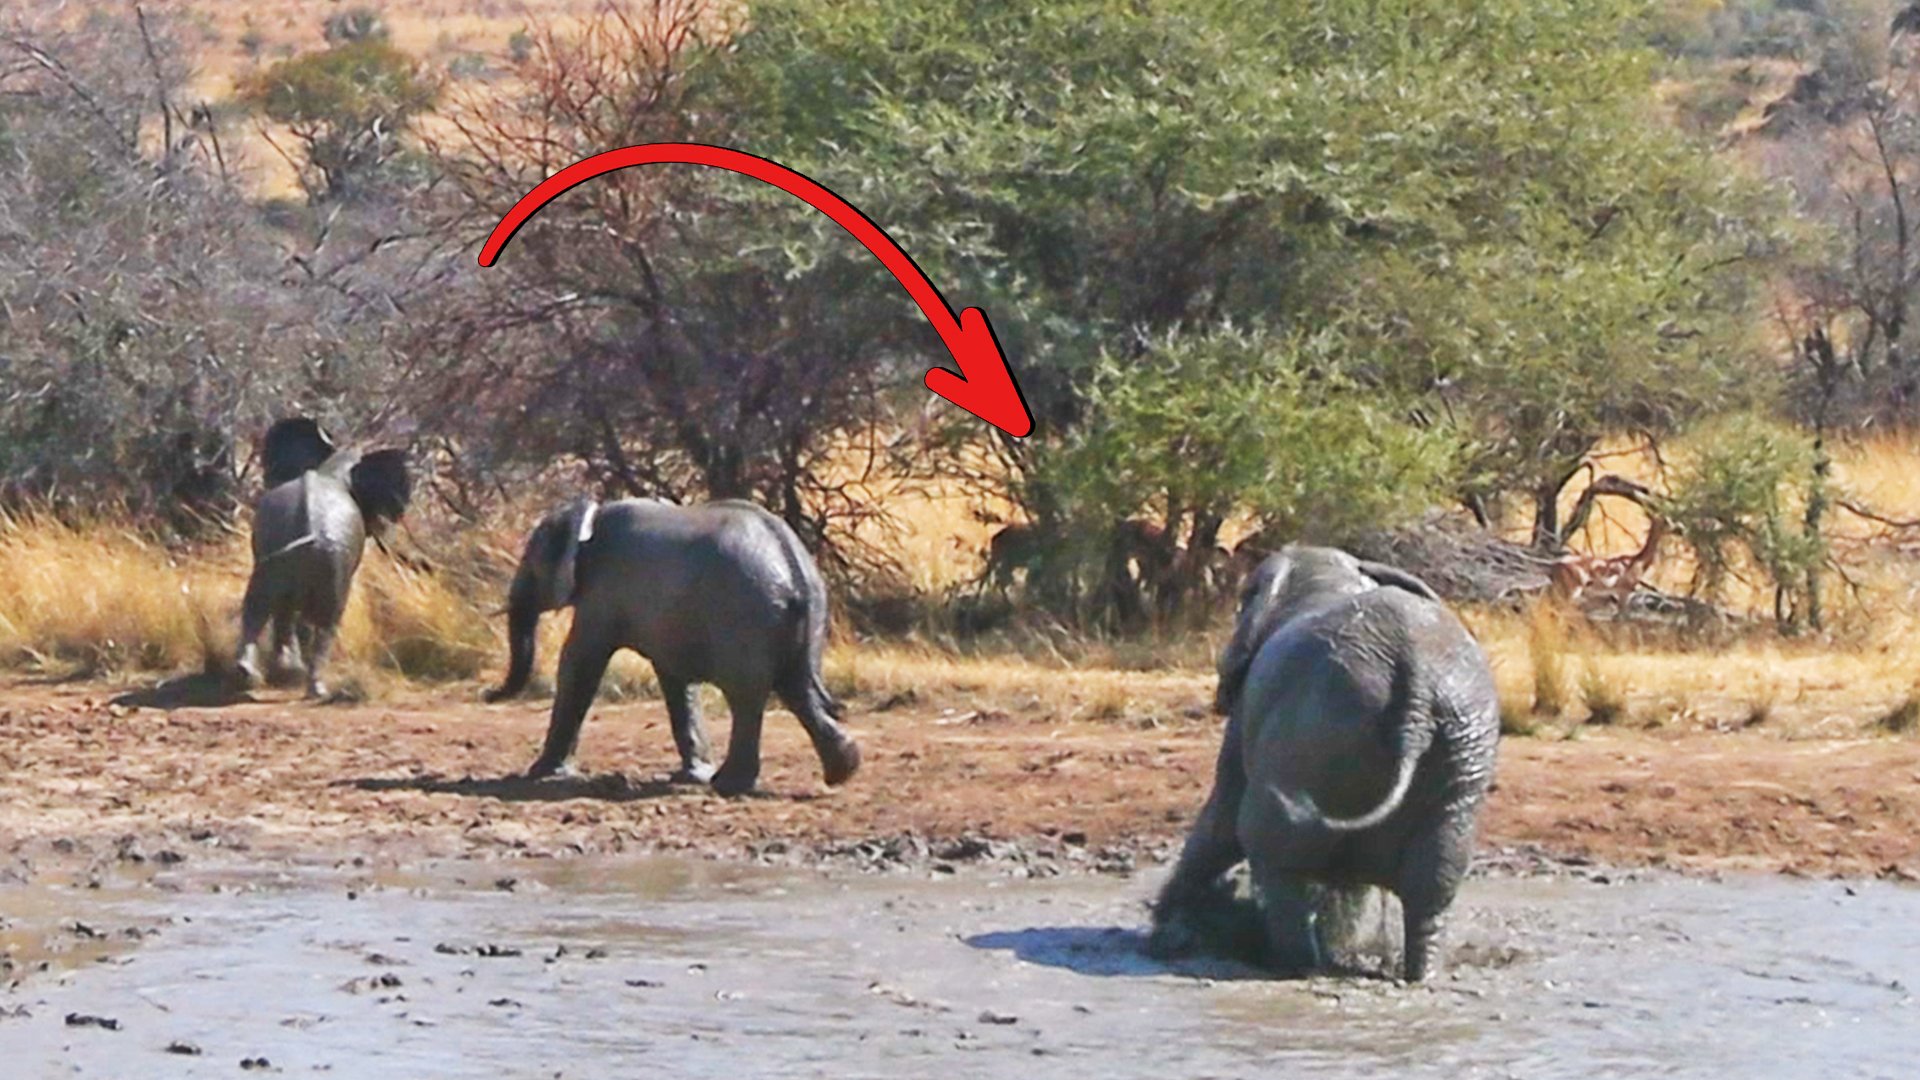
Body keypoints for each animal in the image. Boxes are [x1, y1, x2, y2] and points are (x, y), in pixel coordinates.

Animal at [234, 417, 412, 700]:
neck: (334, 467)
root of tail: (309, 526)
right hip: (331, 561)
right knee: (328, 619)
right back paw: (315, 689)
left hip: (272, 553)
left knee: (257, 605)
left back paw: (252, 676)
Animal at [484, 496, 862, 798]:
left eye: (531, 563)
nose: (486, 694)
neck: (589, 517)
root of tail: (793, 561)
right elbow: (674, 678)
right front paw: (694, 775)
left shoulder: (604, 592)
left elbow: (579, 660)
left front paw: (539, 774)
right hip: (802, 617)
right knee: (796, 688)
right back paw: (843, 770)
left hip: (743, 615)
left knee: (747, 695)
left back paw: (728, 785)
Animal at [1148, 544, 1500, 982]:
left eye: (1241, 602)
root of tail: (1415, 680)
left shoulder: (1247, 710)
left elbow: (1223, 817)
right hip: (1461, 745)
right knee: (1434, 879)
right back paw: (1416, 973)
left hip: (1318, 729)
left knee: (1274, 857)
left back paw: (1295, 965)